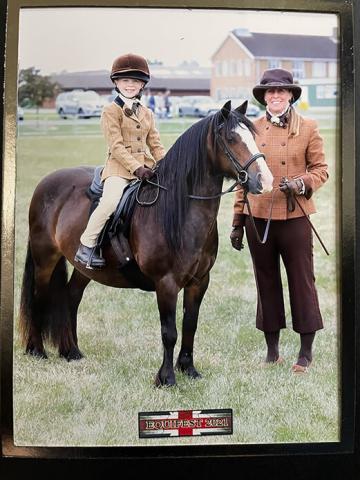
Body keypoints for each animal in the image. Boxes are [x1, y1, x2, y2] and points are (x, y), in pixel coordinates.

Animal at [19, 101, 272, 386]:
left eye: (253, 137)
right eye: (231, 138)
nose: (265, 181)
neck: (178, 210)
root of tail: (47, 182)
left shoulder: (199, 281)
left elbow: (190, 325)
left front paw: (188, 369)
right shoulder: (166, 283)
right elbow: (169, 331)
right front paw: (167, 378)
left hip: (83, 267)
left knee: (71, 297)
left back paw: (71, 351)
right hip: (45, 259)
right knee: (39, 298)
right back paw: (37, 350)